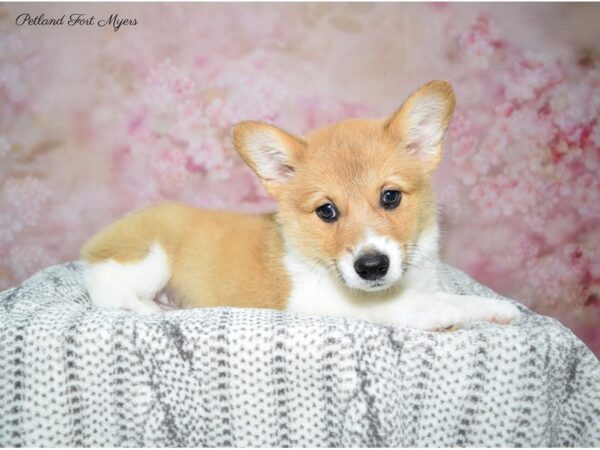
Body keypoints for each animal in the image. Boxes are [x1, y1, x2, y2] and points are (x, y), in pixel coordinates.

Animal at [81, 79, 520, 328]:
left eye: (390, 196)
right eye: (326, 211)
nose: (372, 267)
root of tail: (94, 243)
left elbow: (451, 297)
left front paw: (495, 309)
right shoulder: (319, 301)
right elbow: (404, 307)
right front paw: (441, 316)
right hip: (151, 256)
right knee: (107, 292)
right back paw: (155, 310)